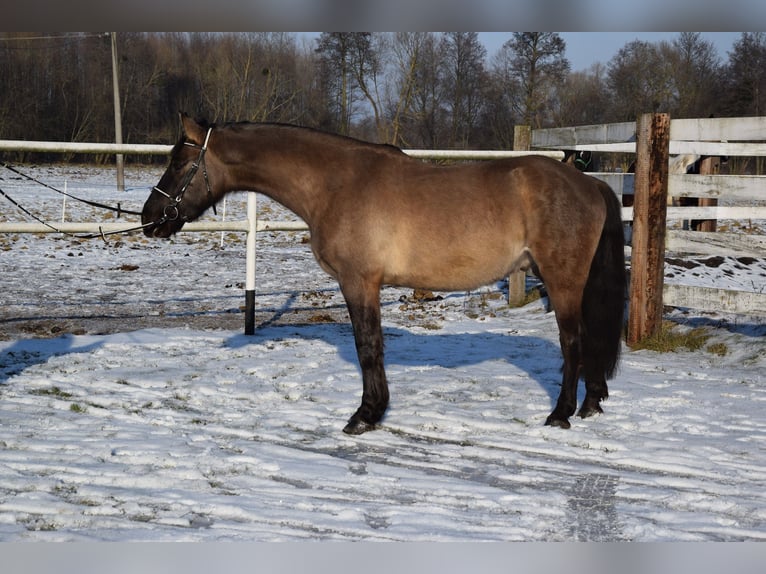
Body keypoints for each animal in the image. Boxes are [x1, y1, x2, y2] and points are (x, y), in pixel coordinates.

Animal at [142, 113, 626, 435]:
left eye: (180, 164)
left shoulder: (359, 282)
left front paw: (365, 415)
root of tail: (589, 182)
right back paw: (590, 405)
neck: (335, 183)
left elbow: (367, 347)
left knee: (572, 342)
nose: (149, 219)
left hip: (562, 281)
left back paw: (560, 414)